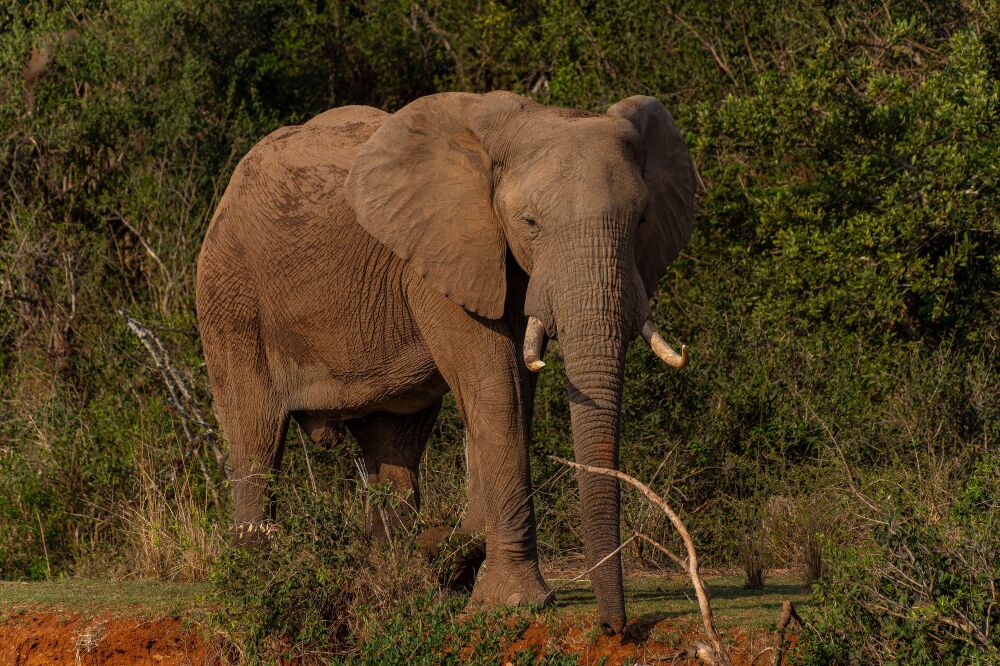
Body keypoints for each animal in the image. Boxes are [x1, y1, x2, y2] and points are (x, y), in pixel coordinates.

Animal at [195, 89, 696, 632]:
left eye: (642, 220)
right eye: (530, 223)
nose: (614, 628)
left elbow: (517, 391)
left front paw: (451, 555)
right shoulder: (441, 257)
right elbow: (497, 387)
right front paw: (512, 602)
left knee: (393, 440)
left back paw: (394, 579)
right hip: (230, 294)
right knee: (255, 435)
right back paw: (257, 584)